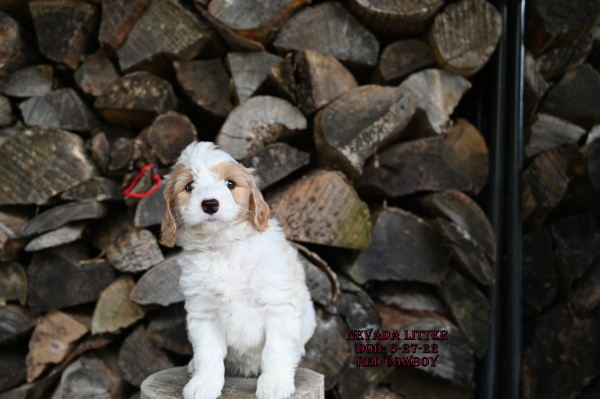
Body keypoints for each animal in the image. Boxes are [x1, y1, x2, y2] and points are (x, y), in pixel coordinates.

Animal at [159, 142, 318, 399]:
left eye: (230, 184)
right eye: (190, 186)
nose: (210, 204)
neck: (224, 246)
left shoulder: (279, 306)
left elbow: (276, 349)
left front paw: (274, 385)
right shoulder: (204, 314)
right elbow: (207, 354)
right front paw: (203, 385)